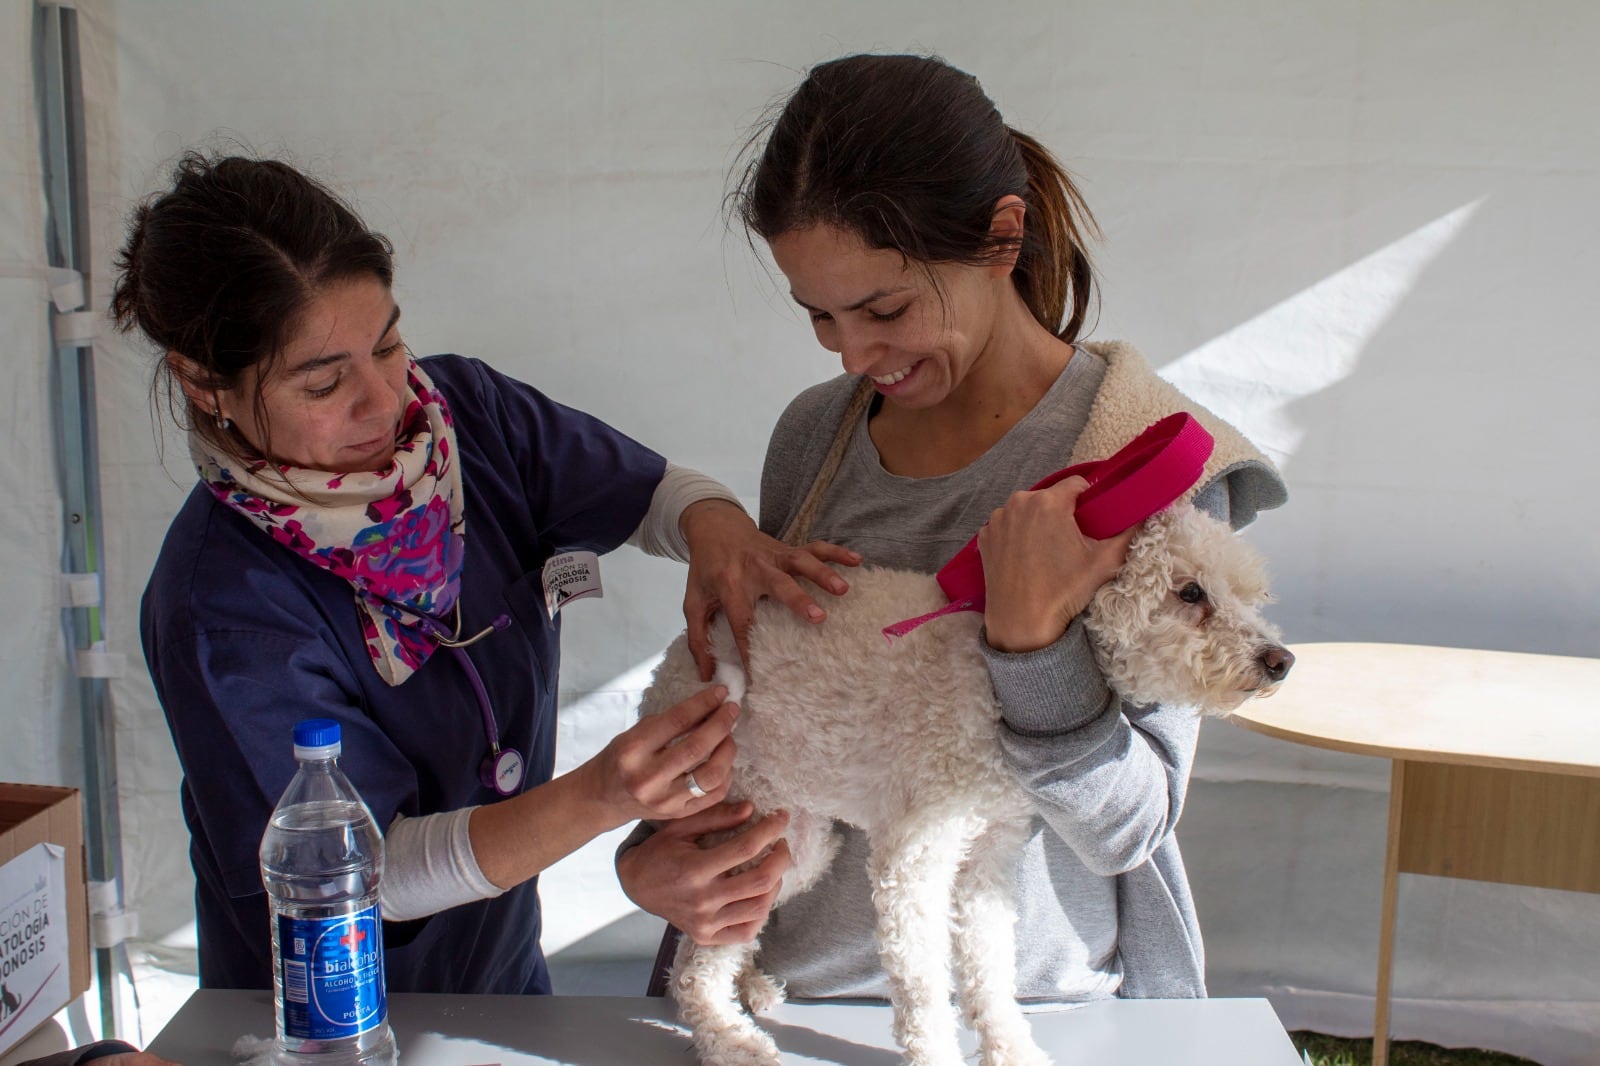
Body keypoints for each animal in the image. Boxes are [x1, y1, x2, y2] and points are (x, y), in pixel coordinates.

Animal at [633, 499, 1286, 1062]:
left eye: (1250, 595)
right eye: (1191, 592)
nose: (1281, 660)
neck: (994, 675)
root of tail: (671, 665)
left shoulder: (991, 853)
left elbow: (990, 969)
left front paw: (1010, 1048)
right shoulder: (914, 859)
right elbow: (923, 986)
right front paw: (935, 1052)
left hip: (795, 844)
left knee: (721, 928)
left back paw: (749, 987)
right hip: (746, 810)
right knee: (693, 965)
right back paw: (728, 1041)